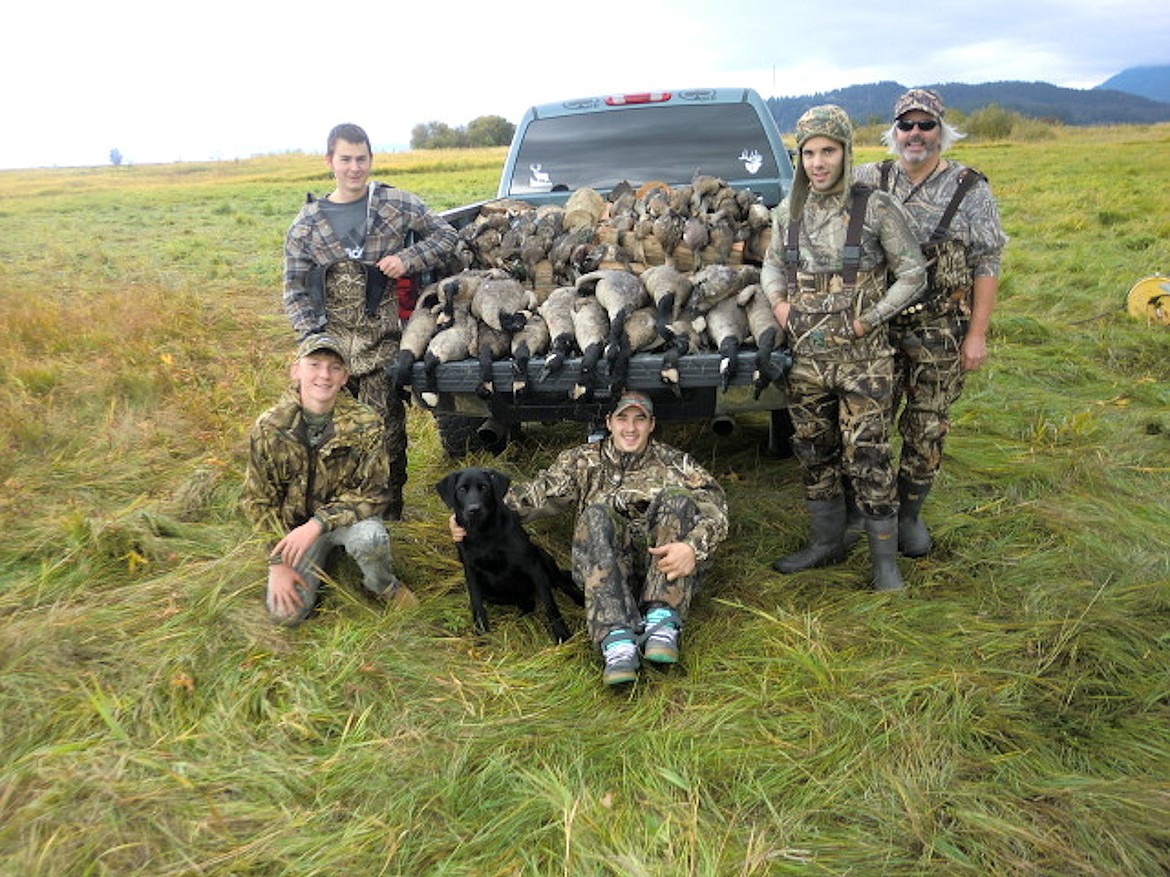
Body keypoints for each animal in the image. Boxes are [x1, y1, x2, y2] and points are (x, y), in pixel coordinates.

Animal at [437, 467, 582, 645]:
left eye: (484, 487)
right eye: (462, 489)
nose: (474, 510)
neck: (484, 533)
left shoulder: (533, 565)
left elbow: (550, 605)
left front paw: (562, 634)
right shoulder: (471, 572)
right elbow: (477, 603)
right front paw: (482, 634)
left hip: (542, 555)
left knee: (562, 583)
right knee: (527, 603)